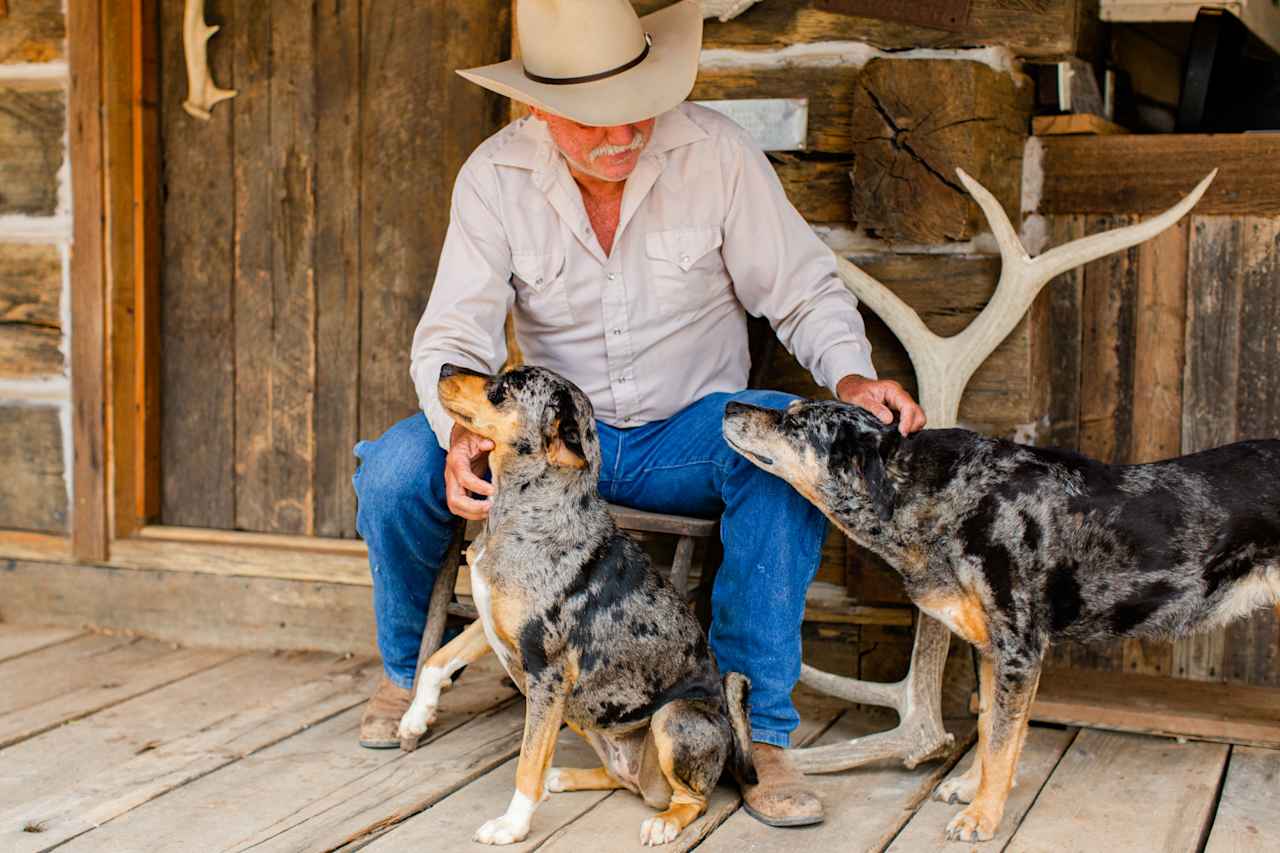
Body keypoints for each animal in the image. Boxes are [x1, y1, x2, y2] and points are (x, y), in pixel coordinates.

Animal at [399, 361, 752, 845]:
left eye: (503, 389)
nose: (446, 366)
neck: (525, 511)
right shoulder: (490, 623)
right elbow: (437, 660)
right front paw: (416, 717)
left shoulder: (546, 674)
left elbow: (527, 763)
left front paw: (511, 826)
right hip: (582, 714)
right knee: (621, 778)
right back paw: (565, 776)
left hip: (669, 717)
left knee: (692, 799)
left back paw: (663, 823)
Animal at [727, 397, 1274, 835]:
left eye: (797, 422)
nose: (730, 405)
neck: (949, 499)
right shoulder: (991, 649)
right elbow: (991, 727)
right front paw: (972, 790)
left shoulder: (1019, 648)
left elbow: (1002, 741)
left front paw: (981, 819)